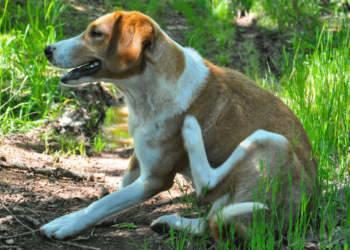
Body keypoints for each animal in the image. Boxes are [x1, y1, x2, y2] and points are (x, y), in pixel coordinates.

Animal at [41, 10, 318, 241]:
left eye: (96, 33)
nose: (47, 49)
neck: (144, 95)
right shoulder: (139, 159)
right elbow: (116, 194)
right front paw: (91, 218)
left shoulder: (155, 180)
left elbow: (100, 204)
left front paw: (66, 224)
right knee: (207, 223)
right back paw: (171, 223)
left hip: (271, 140)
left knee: (208, 186)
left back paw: (191, 131)